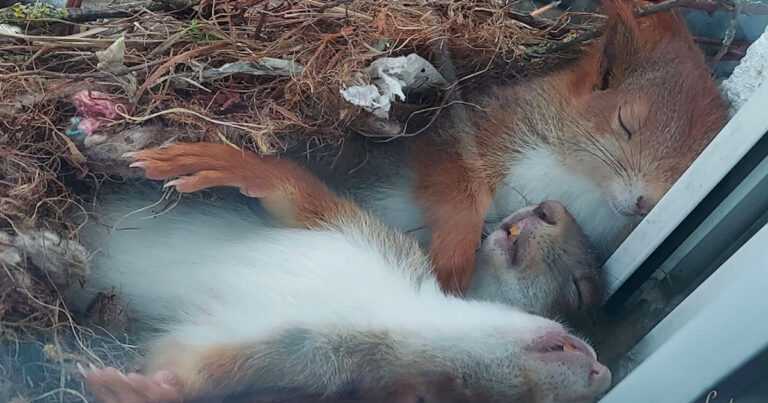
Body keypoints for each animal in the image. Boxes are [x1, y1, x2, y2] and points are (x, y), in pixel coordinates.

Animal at [75, 144, 608, 403]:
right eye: (580, 290)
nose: (602, 373)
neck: (398, 309)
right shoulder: (363, 234)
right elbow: (295, 193)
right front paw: (223, 161)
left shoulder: (291, 356)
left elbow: (195, 367)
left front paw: (140, 390)